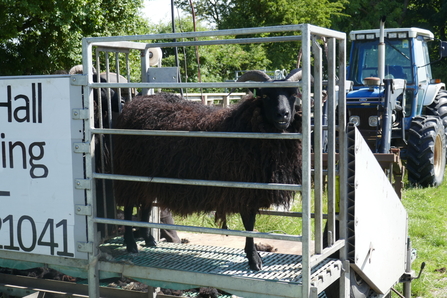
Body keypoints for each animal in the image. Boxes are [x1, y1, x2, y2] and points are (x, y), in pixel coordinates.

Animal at [114, 69, 304, 270]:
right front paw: (254, 259)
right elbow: (249, 223)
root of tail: (134, 104)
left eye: (293, 95)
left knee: (146, 204)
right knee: (129, 208)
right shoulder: (243, 187)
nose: (282, 115)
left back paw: (149, 239)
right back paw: (131, 244)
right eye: (266, 96)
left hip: (147, 176)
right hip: (129, 172)